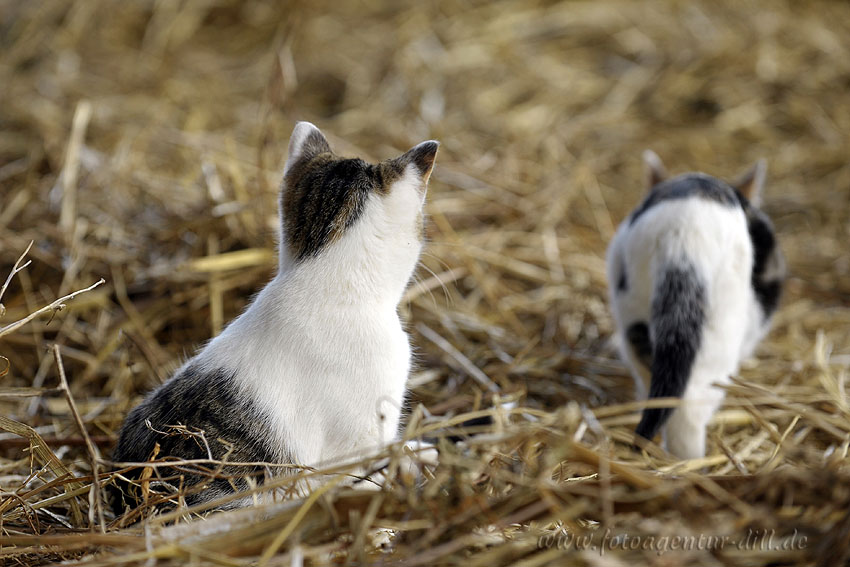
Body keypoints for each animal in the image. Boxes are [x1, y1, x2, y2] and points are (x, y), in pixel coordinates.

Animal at [608, 152, 784, 462]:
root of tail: (681, 238)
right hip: (720, 333)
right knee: (690, 409)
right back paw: (691, 463)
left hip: (633, 313)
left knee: (656, 387)